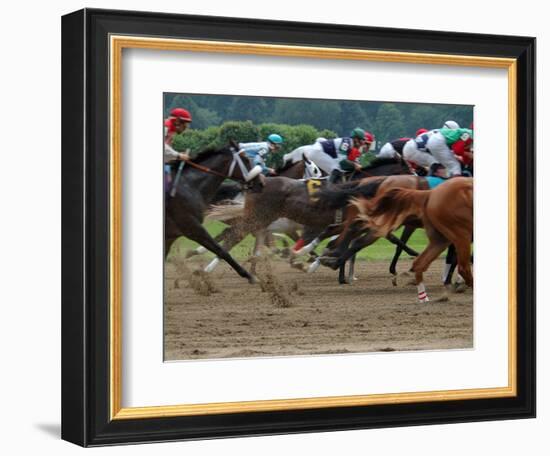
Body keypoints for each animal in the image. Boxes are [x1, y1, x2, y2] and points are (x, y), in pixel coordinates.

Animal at [166, 142, 264, 284]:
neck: (189, 186)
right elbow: (222, 249)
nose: (261, 183)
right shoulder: (192, 227)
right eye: (246, 159)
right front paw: (249, 275)